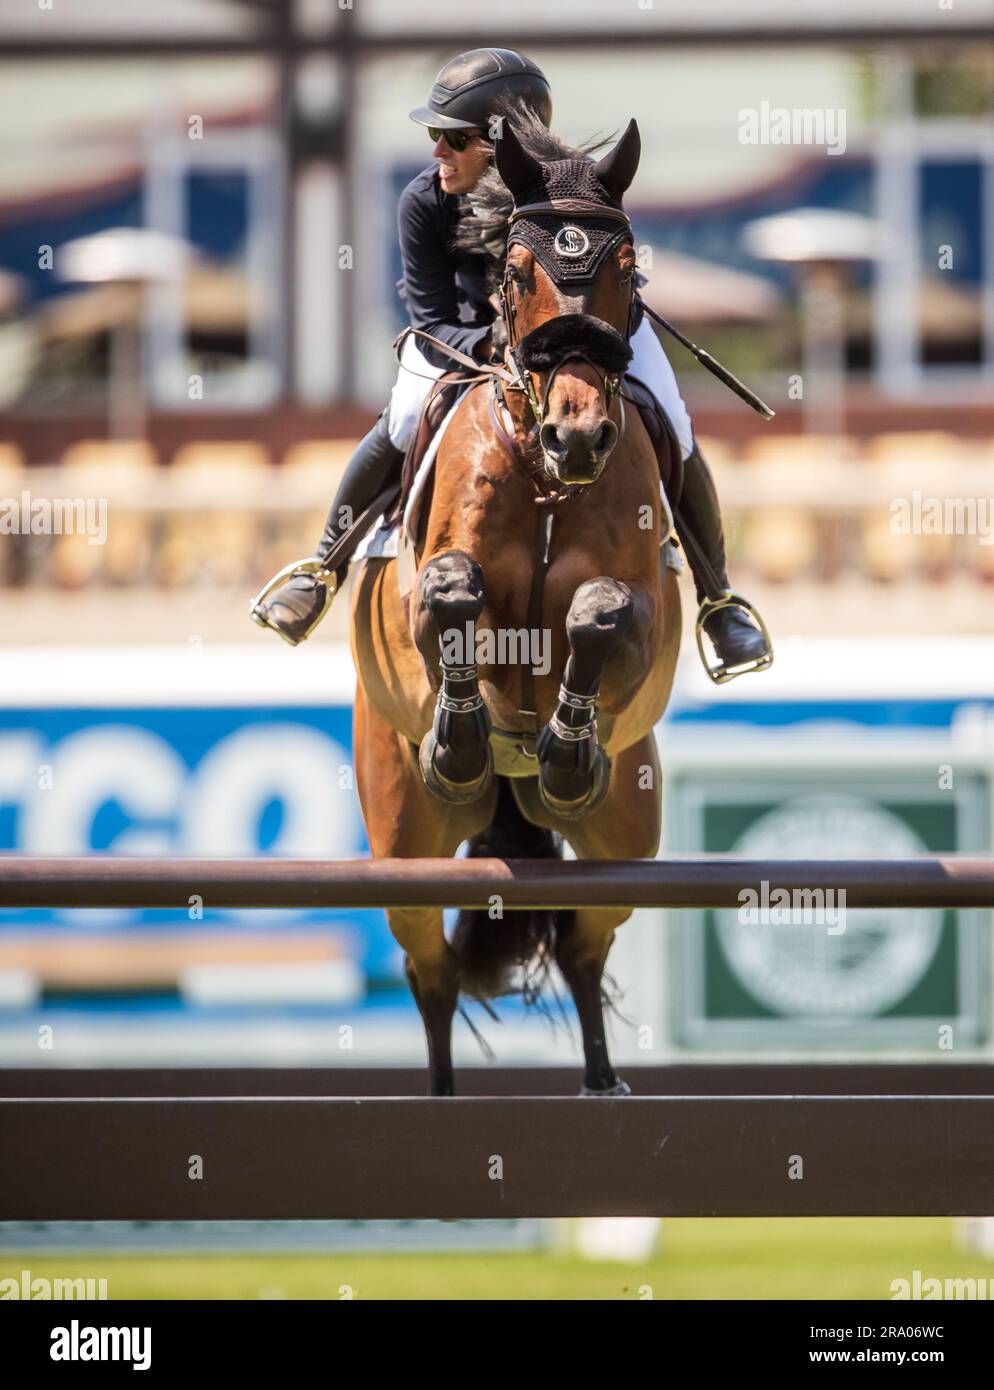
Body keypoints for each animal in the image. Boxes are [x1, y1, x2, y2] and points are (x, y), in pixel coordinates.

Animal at [350, 113, 683, 1095]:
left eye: (628, 271)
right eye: (516, 271)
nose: (579, 435)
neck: (541, 475)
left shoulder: (644, 609)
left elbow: (601, 613)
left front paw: (566, 745)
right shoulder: (434, 585)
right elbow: (452, 597)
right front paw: (463, 736)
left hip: (625, 832)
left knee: (582, 944)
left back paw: (603, 1081)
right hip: (403, 838)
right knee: (429, 966)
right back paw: (440, 1095)